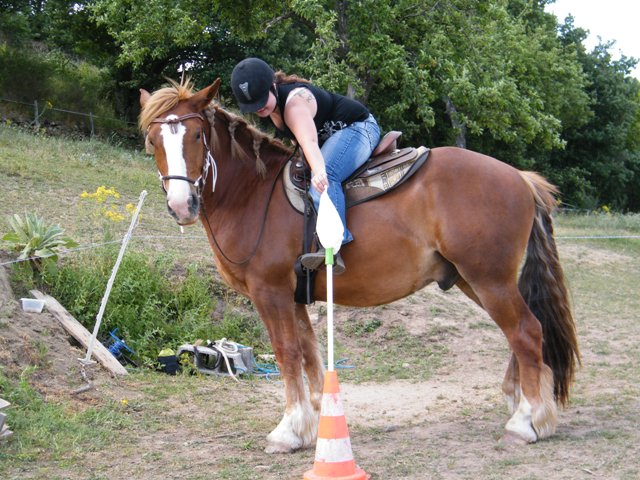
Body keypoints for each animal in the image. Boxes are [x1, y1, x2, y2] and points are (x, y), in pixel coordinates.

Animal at [140, 79, 580, 454]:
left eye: (197, 136)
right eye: (152, 140)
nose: (181, 205)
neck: (253, 194)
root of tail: (520, 178)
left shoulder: (271, 293)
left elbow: (287, 354)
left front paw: (288, 430)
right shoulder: (295, 297)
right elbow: (310, 354)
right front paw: (317, 425)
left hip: (489, 279)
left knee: (526, 332)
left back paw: (525, 421)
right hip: (478, 280)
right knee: (522, 332)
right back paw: (520, 403)